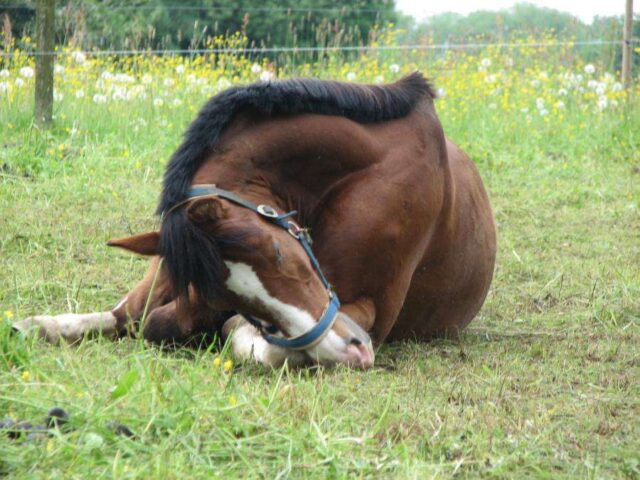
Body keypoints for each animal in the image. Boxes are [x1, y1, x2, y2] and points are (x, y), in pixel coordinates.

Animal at [14, 72, 496, 369]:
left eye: (280, 253)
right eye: (225, 290)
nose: (354, 350)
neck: (363, 166)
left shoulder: (370, 308)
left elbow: (229, 333)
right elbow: (137, 317)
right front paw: (39, 325)